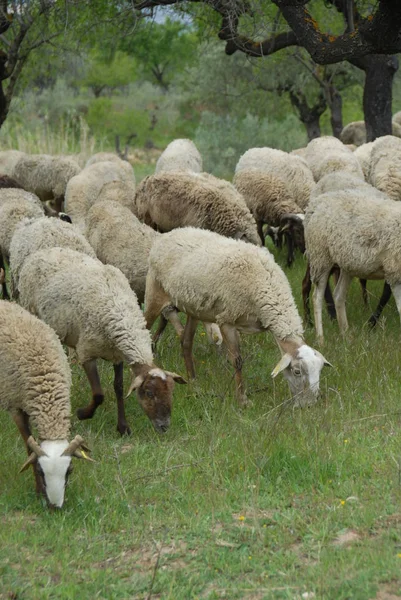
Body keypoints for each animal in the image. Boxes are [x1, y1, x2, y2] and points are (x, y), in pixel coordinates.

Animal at [0, 298, 93, 508]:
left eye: (70, 470)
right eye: (41, 471)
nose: (55, 507)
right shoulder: (15, 406)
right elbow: (29, 447)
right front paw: (37, 492)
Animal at [18, 248, 187, 436]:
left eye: (171, 391)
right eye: (149, 393)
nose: (164, 426)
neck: (123, 317)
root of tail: (46, 250)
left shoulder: (117, 355)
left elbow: (118, 387)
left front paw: (123, 427)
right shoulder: (87, 352)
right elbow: (98, 394)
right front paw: (83, 414)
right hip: (31, 311)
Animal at [144, 226, 332, 408]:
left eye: (320, 371)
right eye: (297, 371)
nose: (308, 406)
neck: (267, 286)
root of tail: (169, 234)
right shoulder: (227, 320)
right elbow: (238, 361)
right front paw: (242, 400)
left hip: (194, 308)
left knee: (186, 342)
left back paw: (193, 383)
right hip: (155, 294)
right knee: (145, 327)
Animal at [304, 188, 400, 342]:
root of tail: (315, 204)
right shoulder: (394, 271)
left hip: (347, 264)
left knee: (338, 295)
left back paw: (346, 335)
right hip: (320, 256)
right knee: (317, 297)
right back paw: (320, 338)